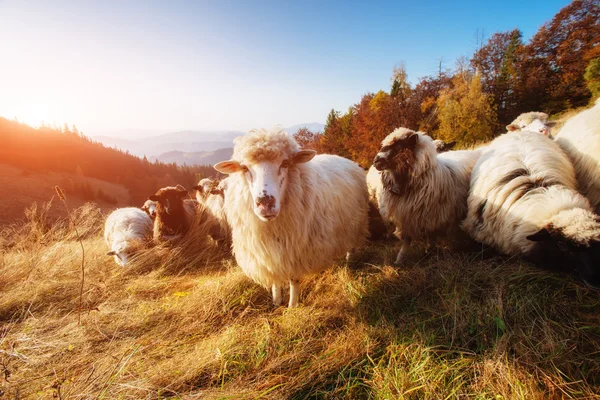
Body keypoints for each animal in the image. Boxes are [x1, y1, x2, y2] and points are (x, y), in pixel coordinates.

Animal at [213, 126, 368, 308]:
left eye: (285, 163)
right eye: (244, 168)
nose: (265, 203)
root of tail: (346, 160)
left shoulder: (295, 252)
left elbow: (294, 280)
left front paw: (292, 305)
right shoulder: (269, 253)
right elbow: (274, 278)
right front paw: (276, 301)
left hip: (356, 221)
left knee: (352, 242)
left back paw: (350, 260)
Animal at [372, 126, 480, 264]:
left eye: (399, 146)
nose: (376, 161)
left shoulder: (432, 215)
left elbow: (431, 235)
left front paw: (429, 250)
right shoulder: (405, 215)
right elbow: (406, 240)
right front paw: (399, 260)